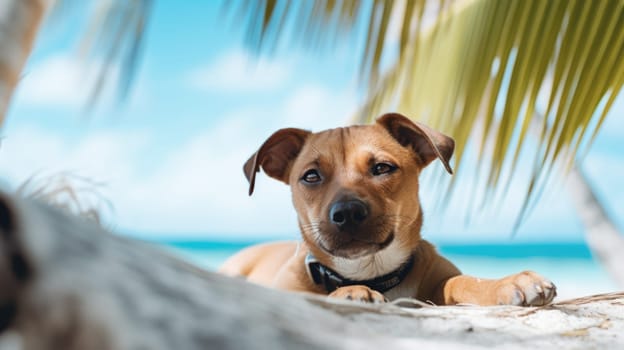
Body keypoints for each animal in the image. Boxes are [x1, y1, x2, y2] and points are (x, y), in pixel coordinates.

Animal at [219, 113, 556, 304]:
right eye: (311, 176)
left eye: (382, 168)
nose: (347, 213)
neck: (371, 271)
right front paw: (350, 293)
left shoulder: (442, 278)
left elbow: (463, 282)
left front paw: (507, 282)